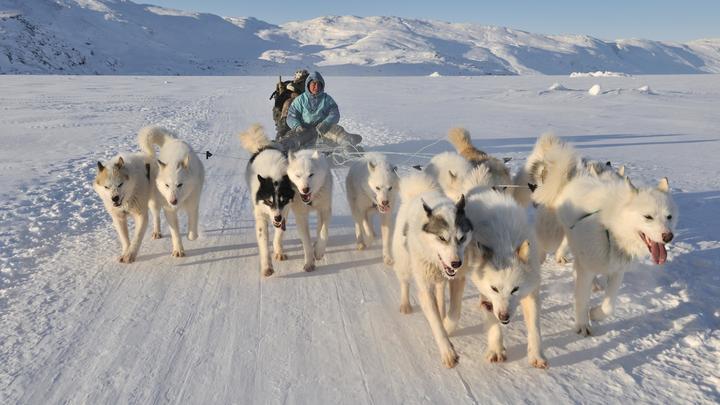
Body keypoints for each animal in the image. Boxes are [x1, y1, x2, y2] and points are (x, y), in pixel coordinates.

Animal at [139, 125, 204, 256]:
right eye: (167, 185)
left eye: (180, 185)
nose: (173, 201)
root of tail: (172, 140)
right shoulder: (169, 211)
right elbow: (175, 233)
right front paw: (178, 250)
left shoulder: (193, 205)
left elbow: (192, 231)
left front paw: (191, 237)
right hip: (155, 202)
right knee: (156, 216)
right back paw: (157, 232)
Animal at [239, 124, 296, 276]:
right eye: (269, 201)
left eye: (283, 200)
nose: (276, 218)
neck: (274, 174)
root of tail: (262, 147)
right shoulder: (261, 215)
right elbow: (263, 240)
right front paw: (267, 266)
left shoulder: (285, 212)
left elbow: (279, 234)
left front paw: (279, 252)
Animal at [390, 172, 476, 368]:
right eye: (442, 238)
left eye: (461, 238)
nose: (456, 263)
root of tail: (419, 192)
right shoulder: (425, 288)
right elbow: (436, 323)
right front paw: (447, 351)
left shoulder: (457, 280)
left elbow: (454, 312)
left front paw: (447, 324)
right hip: (405, 264)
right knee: (404, 282)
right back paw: (405, 304)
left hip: (440, 279)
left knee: (440, 290)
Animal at [458, 166, 548, 368]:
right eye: (494, 288)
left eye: (515, 289)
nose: (505, 317)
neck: (504, 241)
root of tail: (482, 187)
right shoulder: (489, 297)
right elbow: (493, 324)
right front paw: (496, 350)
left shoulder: (531, 293)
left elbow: (535, 328)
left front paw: (537, 355)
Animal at [556, 174, 680, 334]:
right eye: (648, 217)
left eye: (669, 217)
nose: (668, 236)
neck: (612, 230)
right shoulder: (587, 269)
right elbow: (582, 298)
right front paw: (582, 325)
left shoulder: (617, 271)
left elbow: (609, 307)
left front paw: (595, 314)